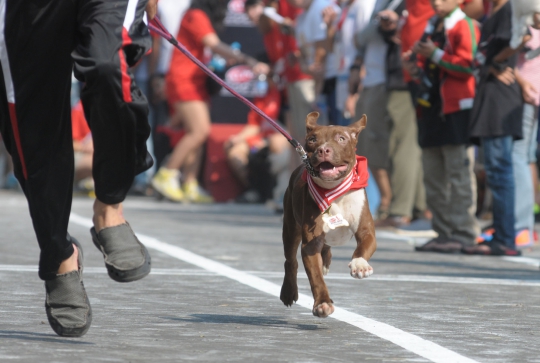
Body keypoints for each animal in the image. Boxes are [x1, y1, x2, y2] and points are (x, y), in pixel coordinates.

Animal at [280, 111, 378, 318]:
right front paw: (322, 303)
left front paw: (359, 265)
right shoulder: (310, 243)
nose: (323, 150)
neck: (334, 191)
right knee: (290, 261)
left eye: (341, 139)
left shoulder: (366, 232)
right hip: (291, 228)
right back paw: (288, 292)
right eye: (312, 139)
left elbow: (362, 248)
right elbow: (316, 277)